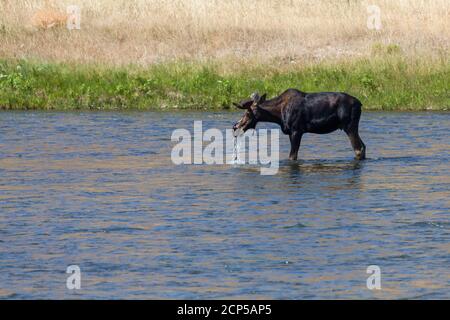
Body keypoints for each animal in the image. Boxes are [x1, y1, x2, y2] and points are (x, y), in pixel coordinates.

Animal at [232, 89, 366, 160]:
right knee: (363, 146)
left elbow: (292, 156)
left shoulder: (296, 131)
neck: (278, 115)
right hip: (353, 127)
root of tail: (360, 104)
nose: (235, 127)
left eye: (248, 113)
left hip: (349, 126)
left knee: (358, 149)